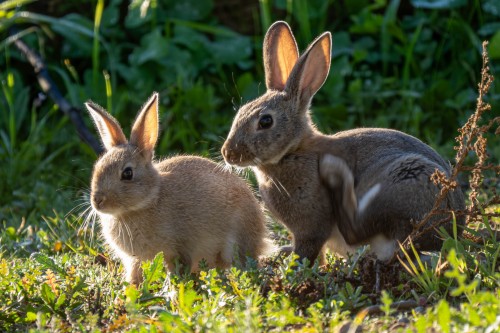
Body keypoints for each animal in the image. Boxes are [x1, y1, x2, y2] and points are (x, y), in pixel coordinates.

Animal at [84, 92, 272, 284]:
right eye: (97, 166)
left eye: (127, 173)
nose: (97, 201)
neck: (147, 201)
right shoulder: (133, 260)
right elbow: (135, 274)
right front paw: (132, 287)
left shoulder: (178, 249)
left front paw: (171, 288)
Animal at [222, 21, 464, 264]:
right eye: (240, 113)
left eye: (265, 121)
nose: (228, 153)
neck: (293, 151)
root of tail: (453, 229)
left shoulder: (311, 227)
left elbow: (307, 251)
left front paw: (294, 263)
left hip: (403, 183)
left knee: (356, 230)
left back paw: (334, 171)